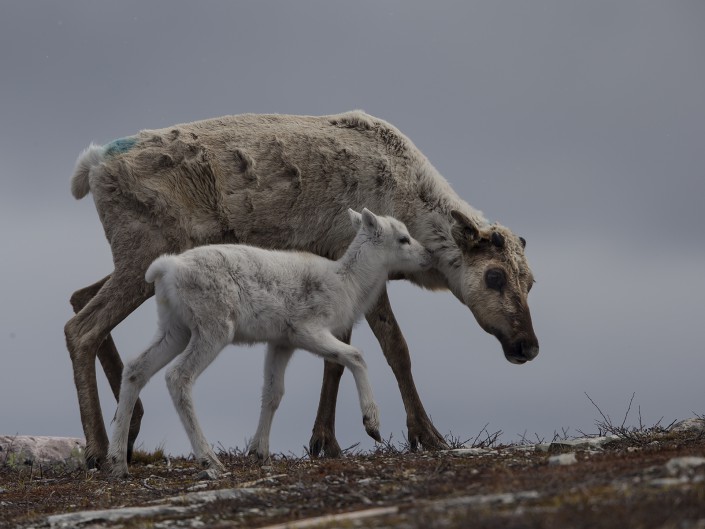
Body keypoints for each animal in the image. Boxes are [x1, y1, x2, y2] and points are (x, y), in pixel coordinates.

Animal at [107, 208, 432, 476]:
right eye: (403, 238)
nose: (427, 256)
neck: (348, 285)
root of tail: (165, 270)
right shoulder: (307, 330)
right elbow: (356, 355)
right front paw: (373, 425)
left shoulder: (281, 342)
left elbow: (273, 392)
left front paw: (259, 452)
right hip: (213, 328)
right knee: (177, 376)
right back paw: (209, 460)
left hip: (174, 329)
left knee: (136, 368)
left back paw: (118, 464)